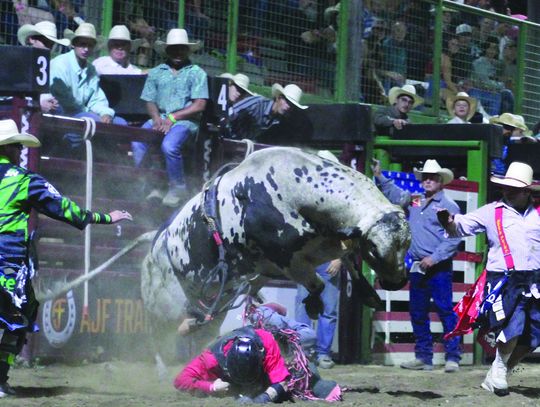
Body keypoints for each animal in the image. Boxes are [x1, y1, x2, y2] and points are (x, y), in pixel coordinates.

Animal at [139, 146, 410, 354]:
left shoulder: (332, 244)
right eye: (374, 249)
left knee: (202, 329)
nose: (397, 282)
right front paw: (313, 306)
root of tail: (152, 252)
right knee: (159, 340)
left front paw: (369, 294)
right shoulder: (287, 259)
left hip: (216, 303)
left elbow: (349, 262)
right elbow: (317, 285)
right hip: (163, 309)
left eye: (406, 244)